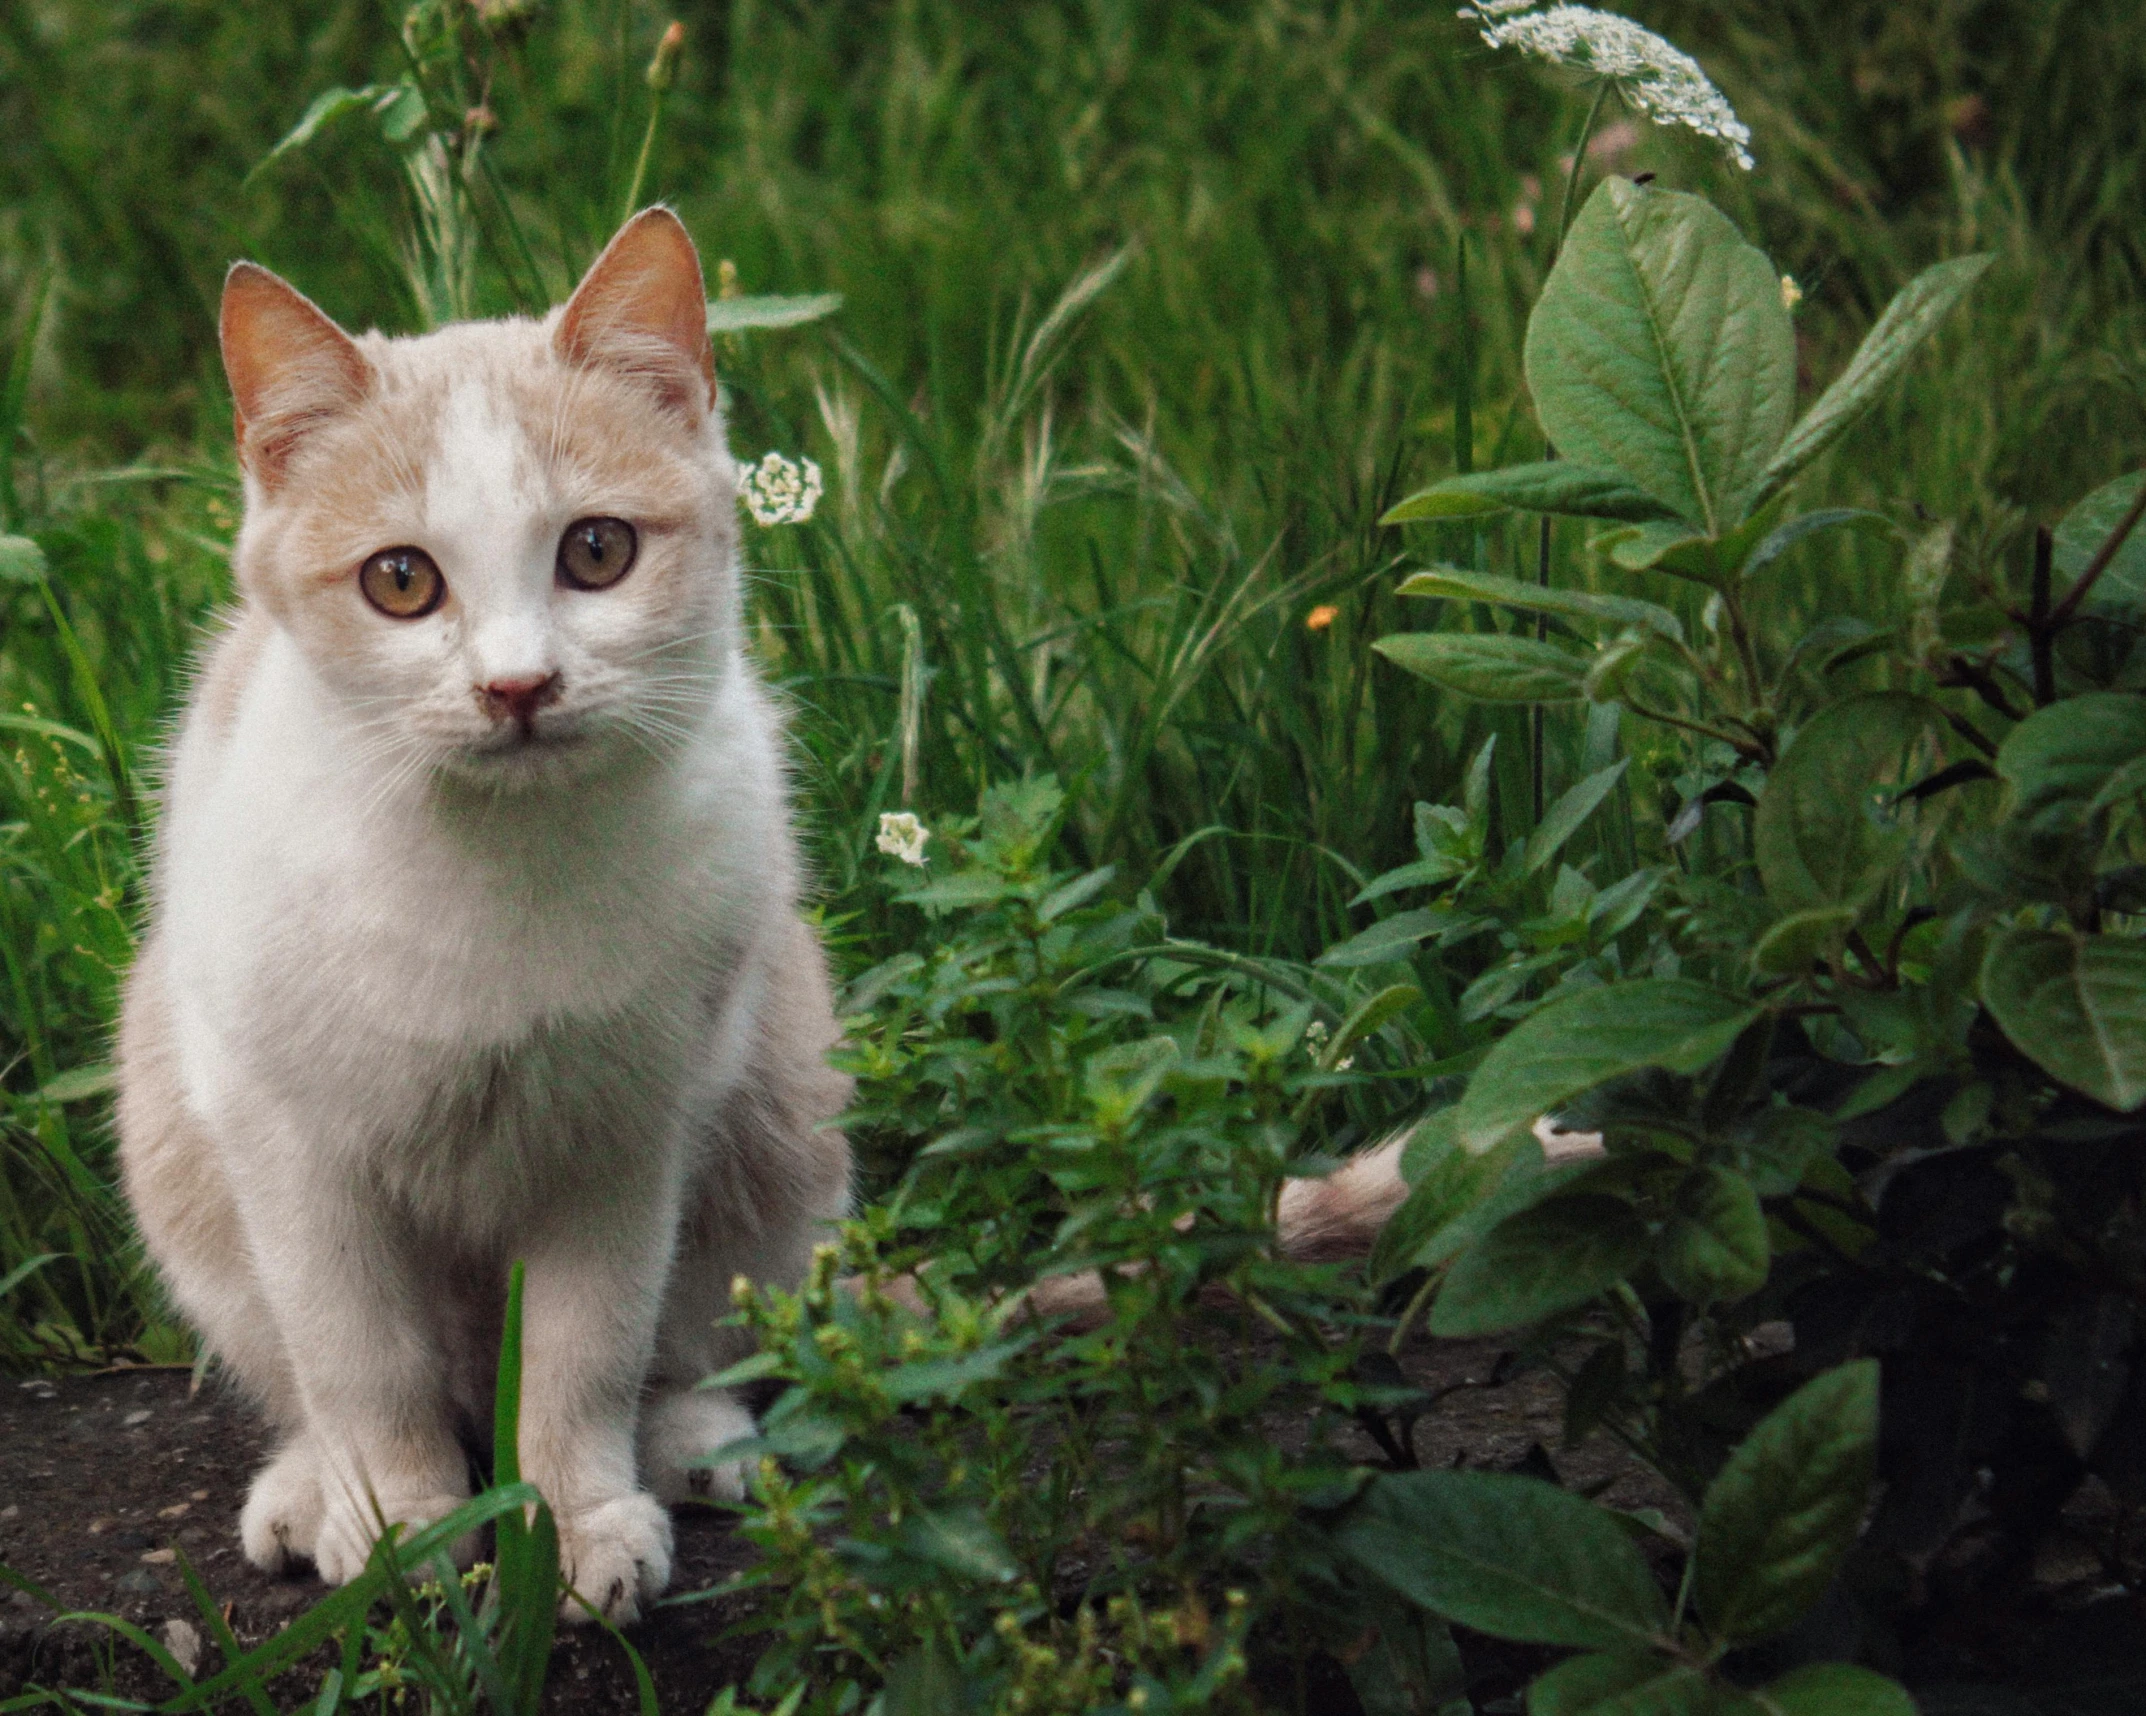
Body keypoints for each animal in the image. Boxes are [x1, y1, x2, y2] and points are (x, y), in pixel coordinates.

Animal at [117, 211, 849, 1621]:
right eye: (400, 580)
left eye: (597, 551)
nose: (518, 685)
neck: (490, 868)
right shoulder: (288, 1144)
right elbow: (360, 1357)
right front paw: (398, 1520)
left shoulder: (623, 1135)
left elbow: (586, 1346)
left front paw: (576, 1521)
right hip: (173, 1134)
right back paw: (309, 1486)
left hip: (782, 1093)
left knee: (690, 1338)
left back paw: (694, 1444)